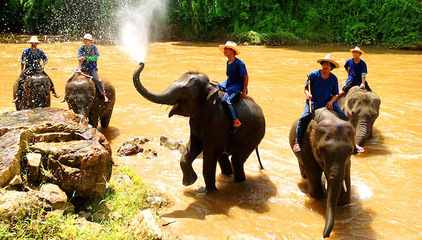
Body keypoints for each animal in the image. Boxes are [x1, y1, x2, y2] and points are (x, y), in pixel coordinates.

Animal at [133, 62, 264, 192]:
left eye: (184, 90)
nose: (141, 62)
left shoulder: (219, 122)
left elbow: (210, 154)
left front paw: (210, 192)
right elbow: (193, 147)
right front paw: (189, 182)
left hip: (256, 135)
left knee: (236, 160)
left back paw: (239, 183)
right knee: (224, 157)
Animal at [288, 107, 354, 238]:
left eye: (350, 151)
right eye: (321, 151)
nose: (325, 236)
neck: (331, 118)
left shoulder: (347, 161)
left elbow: (344, 194)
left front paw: (342, 200)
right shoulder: (307, 144)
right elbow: (315, 184)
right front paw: (320, 194)